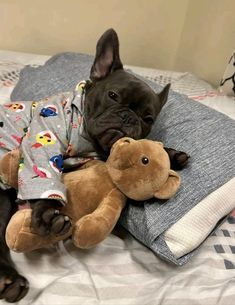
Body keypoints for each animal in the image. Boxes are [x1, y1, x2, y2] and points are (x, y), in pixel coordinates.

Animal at [0, 29, 188, 302]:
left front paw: (171, 155)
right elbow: (46, 172)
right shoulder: (44, 134)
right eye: (113, 96)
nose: (129, 117)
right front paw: (47, 212)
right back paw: (10, 280)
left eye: (148, 118)